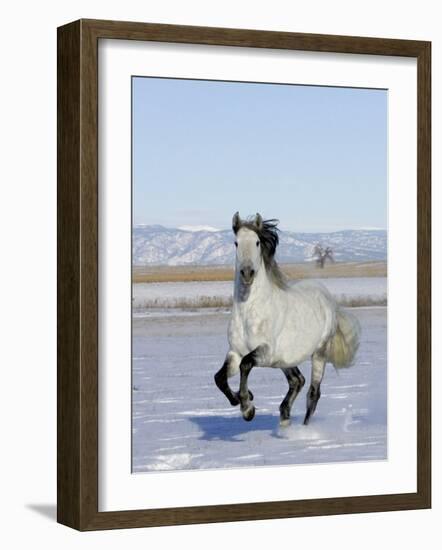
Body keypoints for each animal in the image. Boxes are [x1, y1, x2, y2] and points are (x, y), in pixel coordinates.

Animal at [212, 212, 360, 426]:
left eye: (257, 242)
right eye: (236, 243)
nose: (247, 273)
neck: (249, 314)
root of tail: (327, 297)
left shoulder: (265, 352)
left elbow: (245, 365)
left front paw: (248, 408)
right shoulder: (235, 352)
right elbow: (220, 378)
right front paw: (244, 399)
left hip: (319, 353)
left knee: (313, 393)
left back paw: (304, 428)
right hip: (286, 360)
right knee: (297, 381)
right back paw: (285, 419)